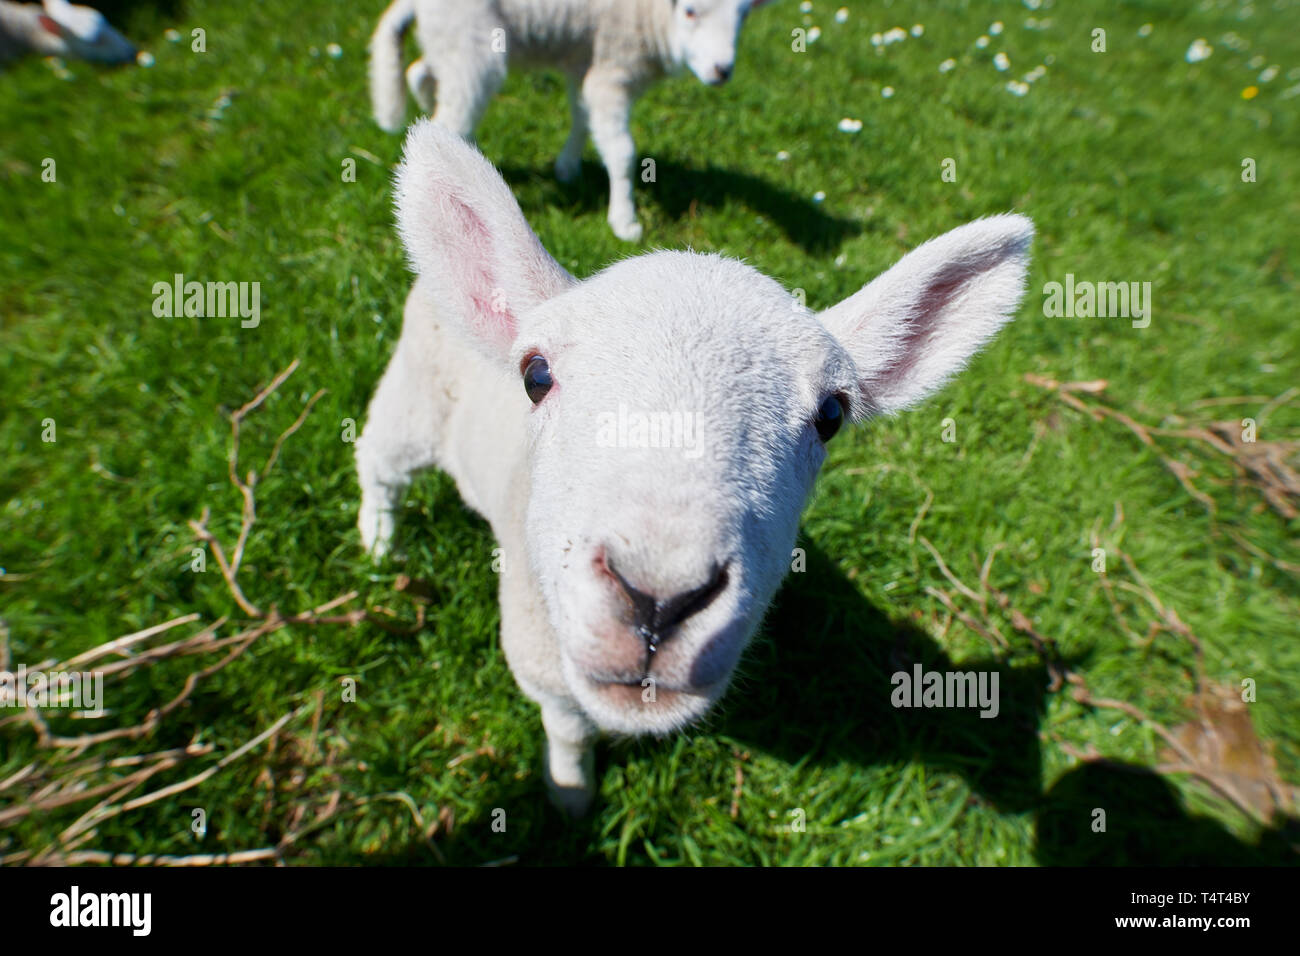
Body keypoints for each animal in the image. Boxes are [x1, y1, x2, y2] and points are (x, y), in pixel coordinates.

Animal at [353, 123, 1034, 816]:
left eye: (831, 415)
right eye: (536, 375)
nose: (658, 598)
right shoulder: (540, 657)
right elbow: (568, 731)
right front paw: (572, 794)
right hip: (414, 398)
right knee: (378, 461)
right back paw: (381, 541)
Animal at [366, 0, 769, 243]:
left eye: (744, 15)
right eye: (689, 11)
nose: (721, 71)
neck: (650, 16)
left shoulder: (585, 58)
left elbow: (582, 115)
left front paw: (567, 167)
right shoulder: (613, 66)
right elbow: (622, 150)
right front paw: (624, 221)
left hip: (450, 44)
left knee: (421, 74)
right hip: (472, 44)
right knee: (450, 112)